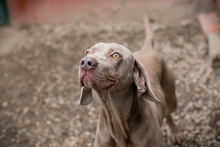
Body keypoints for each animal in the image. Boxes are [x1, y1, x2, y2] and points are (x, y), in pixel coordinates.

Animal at [78, 15, 183, 147]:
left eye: (116, 55)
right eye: (87, 52)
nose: (86, 62)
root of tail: (147, 49)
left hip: (171, 97)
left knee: (169, 112)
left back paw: (175, 132)